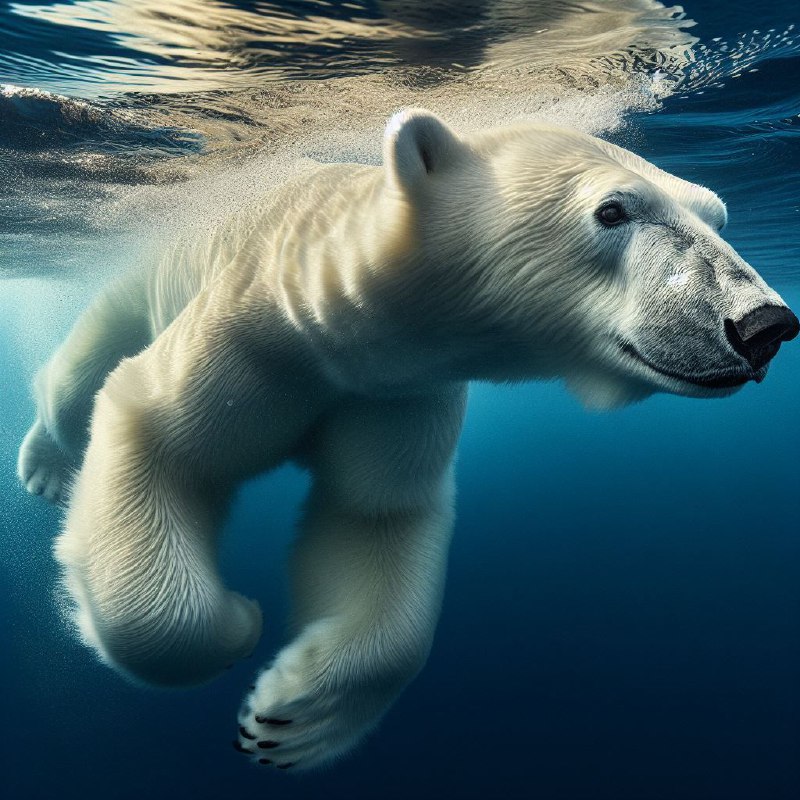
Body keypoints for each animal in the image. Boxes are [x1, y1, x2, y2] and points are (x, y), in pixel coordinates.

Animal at [17, 109, 799, 770]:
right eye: (613, 210)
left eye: (717, 214)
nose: (764, 326)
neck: (342, 331)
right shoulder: (255, 336)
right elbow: (155, 433)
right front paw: (237, 622)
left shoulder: (395, 393)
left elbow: (376, 518)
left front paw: (292, 717)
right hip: (145, 278)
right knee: (78, 376)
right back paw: (47, 465)